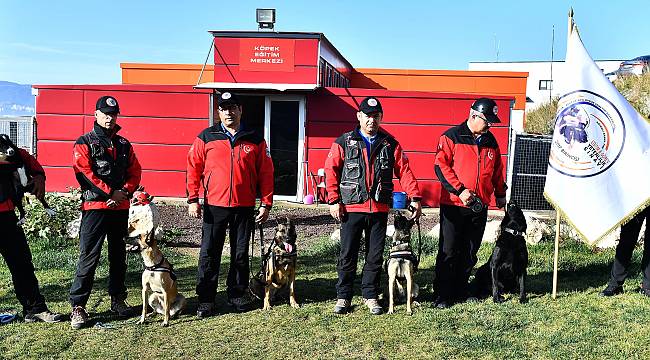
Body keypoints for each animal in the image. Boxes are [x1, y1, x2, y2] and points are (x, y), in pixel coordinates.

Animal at [128, 191, 185, 326]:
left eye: (137, 237)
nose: (123, 237)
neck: (152, 265)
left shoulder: (165, 291)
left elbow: (167, 309)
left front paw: (166, 322)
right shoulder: (145, 289)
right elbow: (143, 308)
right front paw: (142, 319)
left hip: (181, 297)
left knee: (170, 310)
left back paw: (173, 315)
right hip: (152, 296)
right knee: (157, 310)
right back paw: (152, 314)